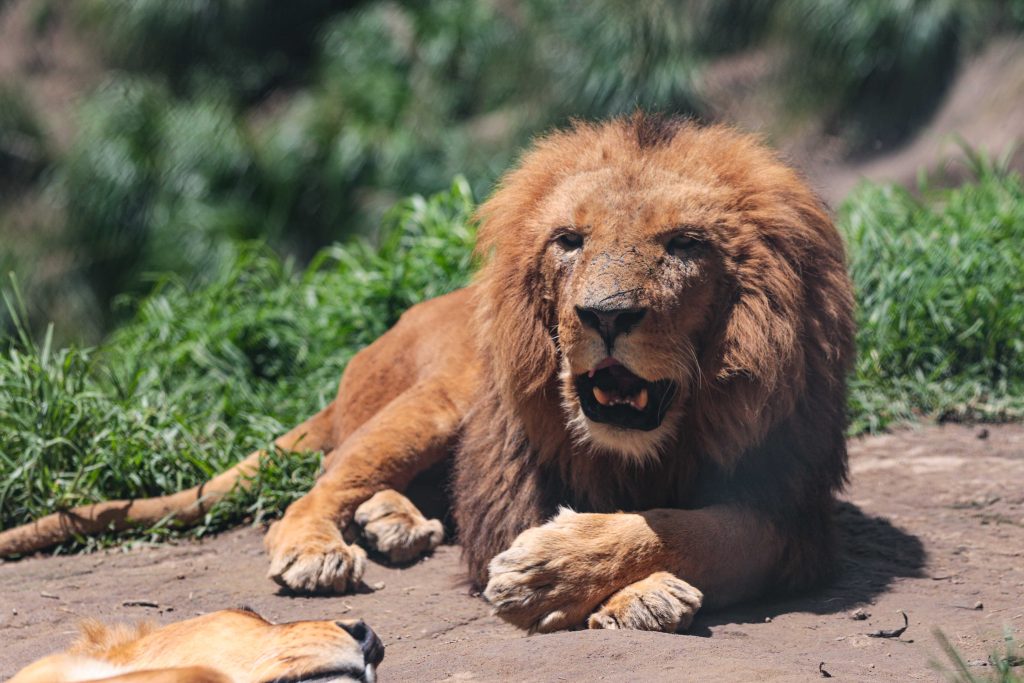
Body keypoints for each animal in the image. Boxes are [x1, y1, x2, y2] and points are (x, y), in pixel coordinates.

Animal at [0, 114, 855, 633]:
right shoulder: (508, 479)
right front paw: (592, 583)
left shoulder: (789, 505)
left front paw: (597, 574)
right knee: (319, 484)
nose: (606, 315)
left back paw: (395, 523)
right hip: (436, 402)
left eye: (683, 245)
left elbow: (698, 528)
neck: (645, 447)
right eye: (570, 240)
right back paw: (324, 547)